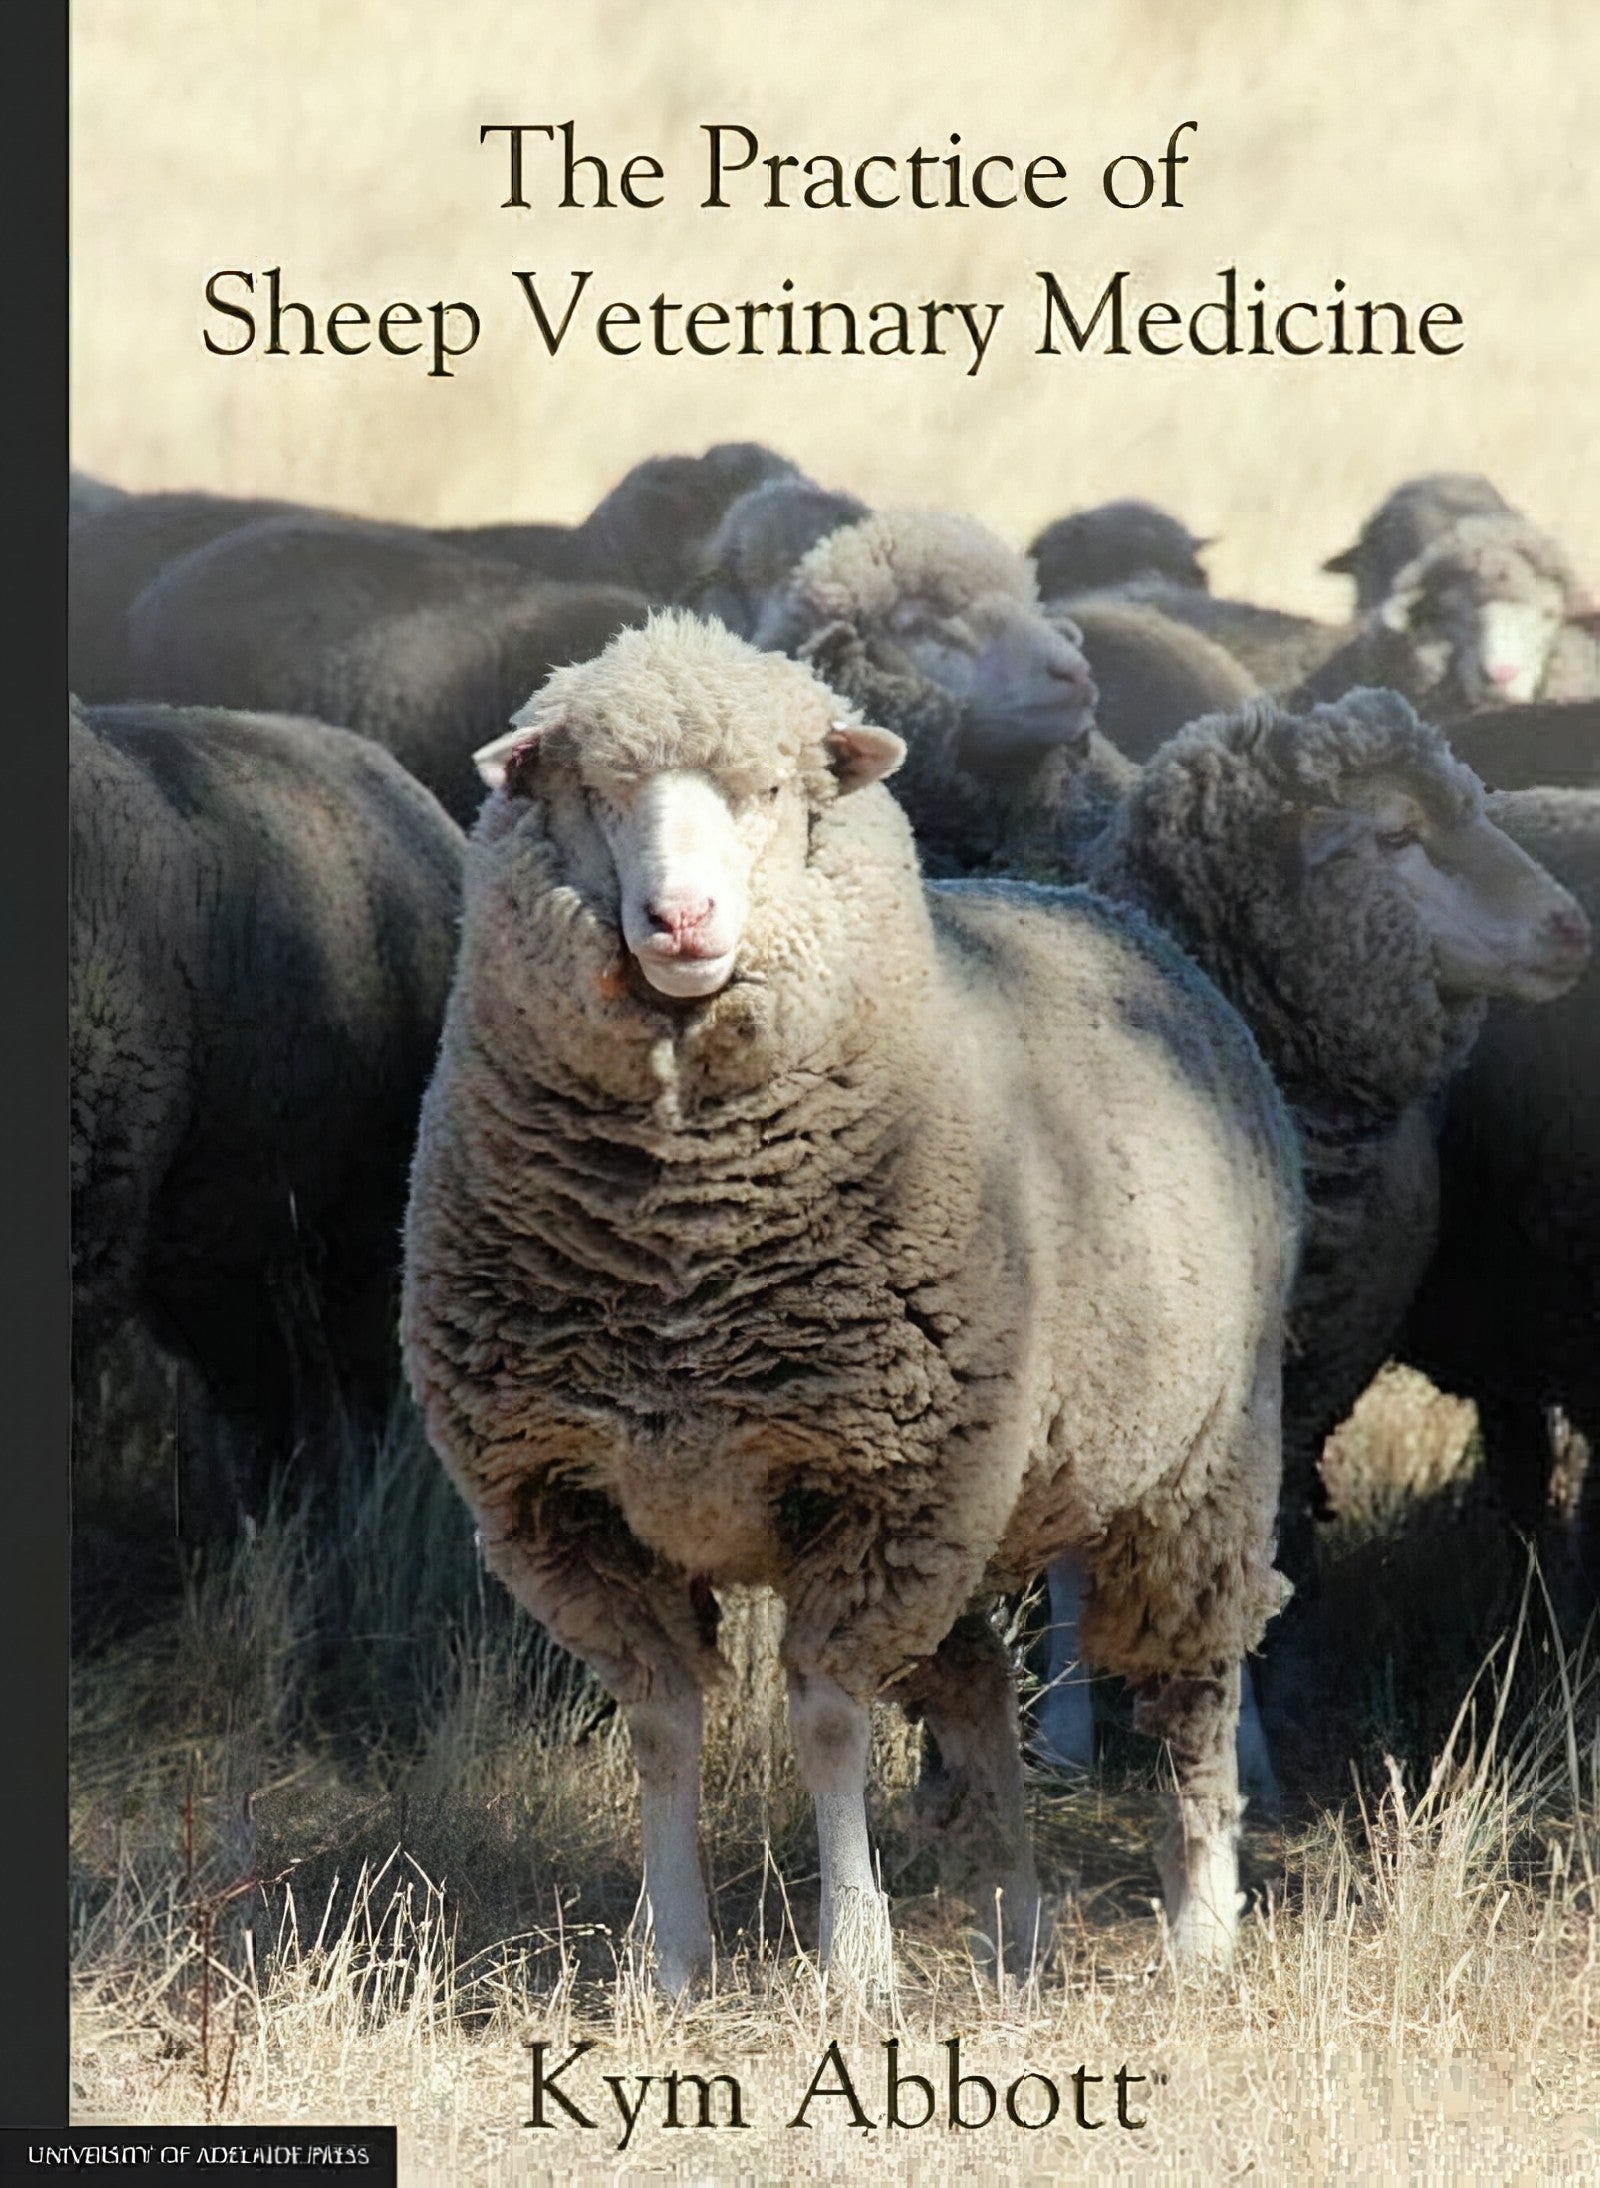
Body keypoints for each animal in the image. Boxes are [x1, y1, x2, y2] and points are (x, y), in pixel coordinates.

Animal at [404, 610, 1301, 1993]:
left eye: (771, 791)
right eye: (597, 793)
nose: (679, 917)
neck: (680, 1250)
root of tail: (1094, 903)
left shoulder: (880, 1487)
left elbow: (828, 1722)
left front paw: (855, 1959)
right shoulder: (568, 1501)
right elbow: (661, 1725)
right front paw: (672, 1960)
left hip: (1196, 1464)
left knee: (1196, 1686)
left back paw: (1201, 1925)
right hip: (983, 1493)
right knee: (979, 1690)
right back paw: (1016, 1931)